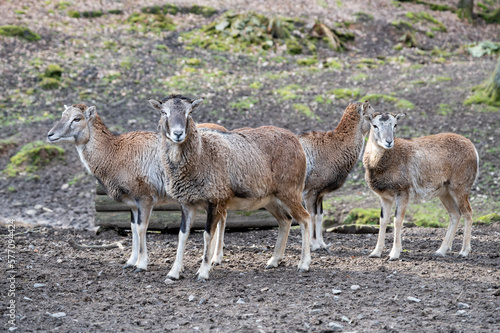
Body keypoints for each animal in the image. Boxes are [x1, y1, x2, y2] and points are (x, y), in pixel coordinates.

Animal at [149, 94, 312, 280]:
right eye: (164, 112)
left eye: (189, 112)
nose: (178, 134)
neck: (202, 154)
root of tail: (296, 141)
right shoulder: (187, 203)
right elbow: (182, 235)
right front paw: (173, 273)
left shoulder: (215, 200)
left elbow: (207, 235)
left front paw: (203, 272)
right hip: (271, 199)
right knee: (285, 220)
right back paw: (273, 261)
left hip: (290, 192)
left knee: (305, 218)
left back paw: (304, 264)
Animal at [298, 101, 374, 249]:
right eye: (371, 116)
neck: (334, 148)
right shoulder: (310, 192)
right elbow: (311, 216)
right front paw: (314, 245)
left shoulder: (320, 194)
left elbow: (320, 216)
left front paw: (322, 244)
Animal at [362, 110, 478, 260]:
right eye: (374, 125)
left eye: (395, 125)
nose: (389, 141)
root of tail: (473, 149)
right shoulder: (385, 197)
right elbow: (383, 221)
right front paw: (375, 253)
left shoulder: (403, 192)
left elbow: (397, 220)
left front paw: (394, 254)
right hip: (445, 192)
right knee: (455, 214)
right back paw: (440, 251)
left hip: (460, 187)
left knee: (468, 212)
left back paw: (464, 251)